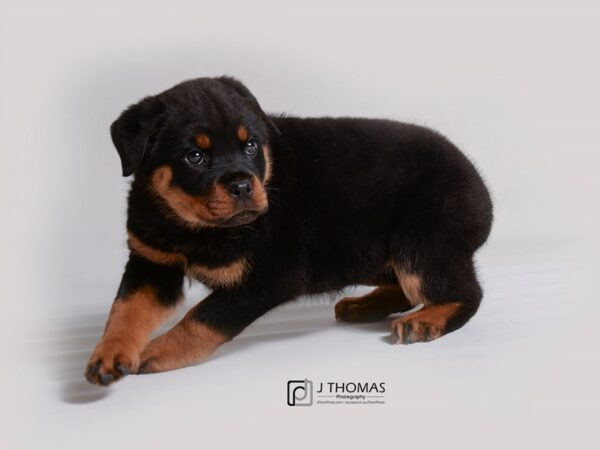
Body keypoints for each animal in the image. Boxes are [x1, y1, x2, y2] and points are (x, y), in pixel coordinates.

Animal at [84, 75, 492, 384]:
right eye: (194, 156)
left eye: (250, 145)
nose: (242, 186)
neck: (195, 227)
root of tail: (481, 190)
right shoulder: (151, 262)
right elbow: (125, 310)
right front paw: (108, 355)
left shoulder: (267, 279)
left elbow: (203, 318)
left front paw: (157, 351)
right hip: (372, 253)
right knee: (407, 289)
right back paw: (364, 304)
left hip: (422, 247)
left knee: (464, 293)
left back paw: (423, 321)